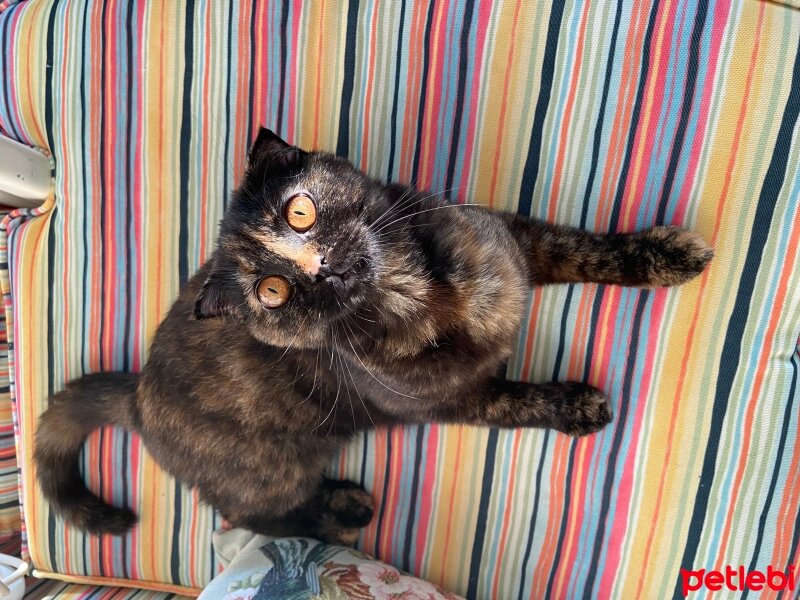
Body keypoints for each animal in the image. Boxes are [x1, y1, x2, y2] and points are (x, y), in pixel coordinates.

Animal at [36, 126, 712, 544]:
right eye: (272, 291)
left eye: (299, 211)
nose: (322, 268)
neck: (420, 293)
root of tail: (136, 394)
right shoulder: (454, 401)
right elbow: (523, 401)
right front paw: (577, 407)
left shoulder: (514, 243)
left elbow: (584, 249)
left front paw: (664, 256)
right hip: (274, 468)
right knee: (248, 516)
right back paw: (343, 511)